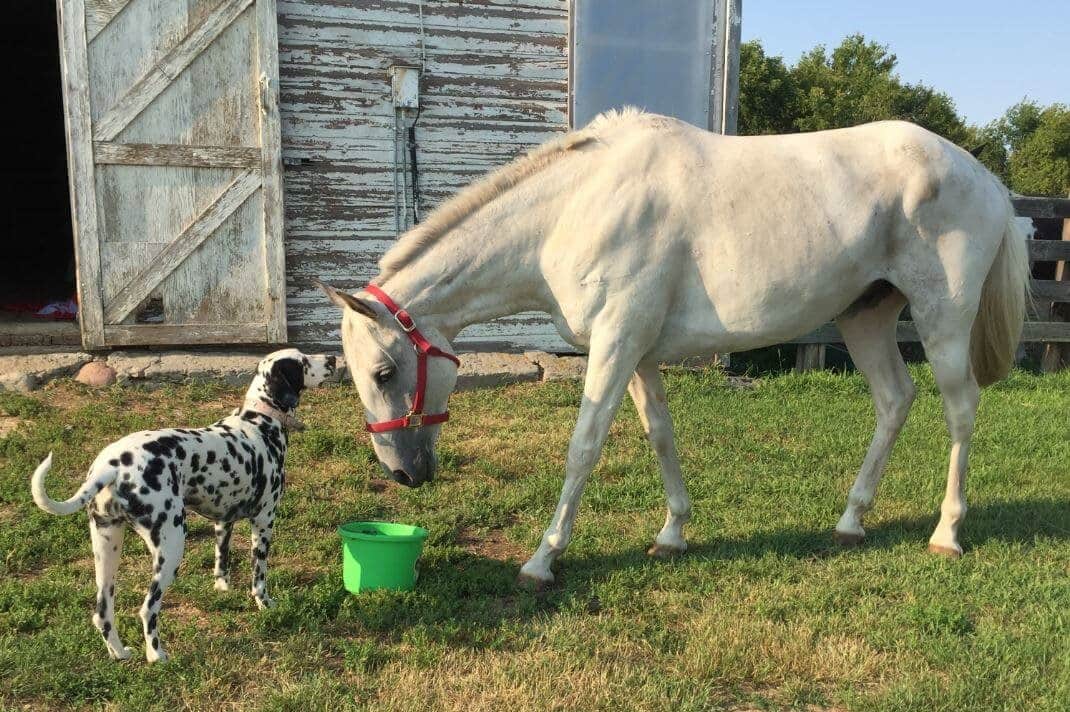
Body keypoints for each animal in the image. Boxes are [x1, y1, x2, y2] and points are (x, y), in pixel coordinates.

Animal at [29, 346, 333, 663]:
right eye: (303, 361)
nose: (333, 359)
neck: (258, 422)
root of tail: (110, 466)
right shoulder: (263, 521)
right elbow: (259, 576)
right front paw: (264, 603)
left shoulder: (223, 521)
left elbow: (221, 563)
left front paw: (222, 589)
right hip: (171, 547)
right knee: (147, 609)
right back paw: (157, 655)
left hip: (107, 550)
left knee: (102, 614)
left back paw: (120, 653)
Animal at [314, 108, 1027, 586]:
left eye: (384, 371)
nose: (403, 473)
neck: (573, 208)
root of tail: (985, 177)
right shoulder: (639, 351)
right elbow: (660, 433)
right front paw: (673, 534)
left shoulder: (616, 342)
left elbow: (584, 447)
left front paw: (544, 558)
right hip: (866, 319)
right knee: (894, 401)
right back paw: (851, 521)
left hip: (941, 319)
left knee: (961, 410)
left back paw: (947, 533)